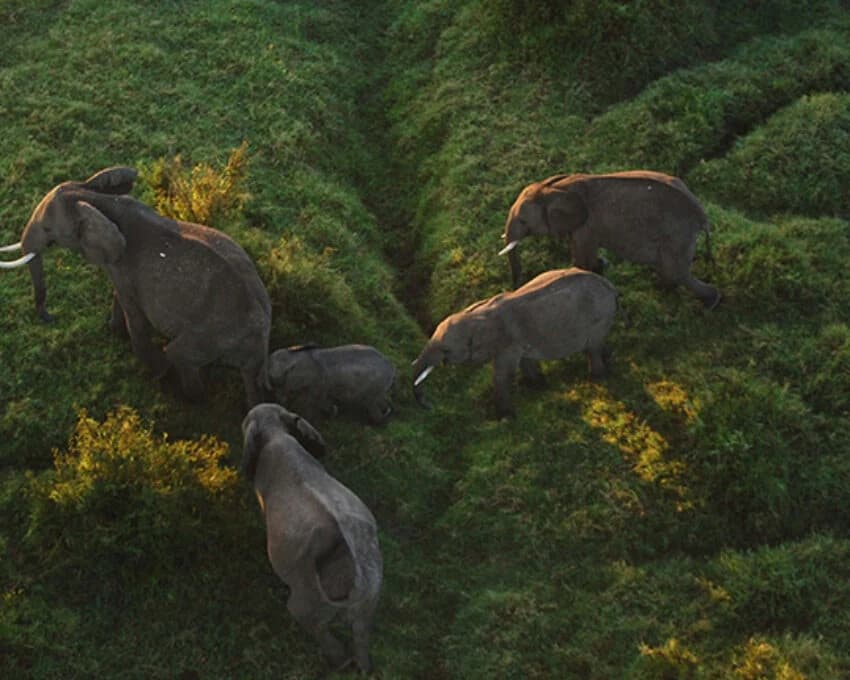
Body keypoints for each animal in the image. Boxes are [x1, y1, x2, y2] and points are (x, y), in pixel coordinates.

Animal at [0, 167, 271, 405]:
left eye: (48, 229)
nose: (50, 318)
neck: (92, 197)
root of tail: (261, 346)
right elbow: (119, 297)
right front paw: (113, 330)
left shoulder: (127, 270)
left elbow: (136, 322)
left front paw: (158, 373)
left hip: (213, 336)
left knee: (179, 354)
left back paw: (191, 400)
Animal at [241, 403, 383, 673]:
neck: (276, 434)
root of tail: (354, 583)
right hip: (369, 601)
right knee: (361, 637)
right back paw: (364, 667)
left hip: (309, 602)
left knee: (315, 627)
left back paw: (339, 662)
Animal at [412, 267, 618, 418]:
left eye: (446, 349)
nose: (429, 406)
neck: (477, 313)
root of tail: (609, 285)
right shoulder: (517, 342)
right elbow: (525, 361)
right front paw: (538, 386)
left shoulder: (507, 342)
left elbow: (502, 374)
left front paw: (505, 417)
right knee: (596, 345)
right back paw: (607, 361)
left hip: (599, 314)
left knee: (592, 348)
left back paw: (598, 378)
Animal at [499, 170, 720, 308]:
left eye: (524, 221)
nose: (515, 286)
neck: (556, 187)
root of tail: (702, 218)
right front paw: (603, 265)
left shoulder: (587, 226)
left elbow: (583, 259)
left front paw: (595, 268)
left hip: (676, 234)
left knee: (676, 272)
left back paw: (708, 302)